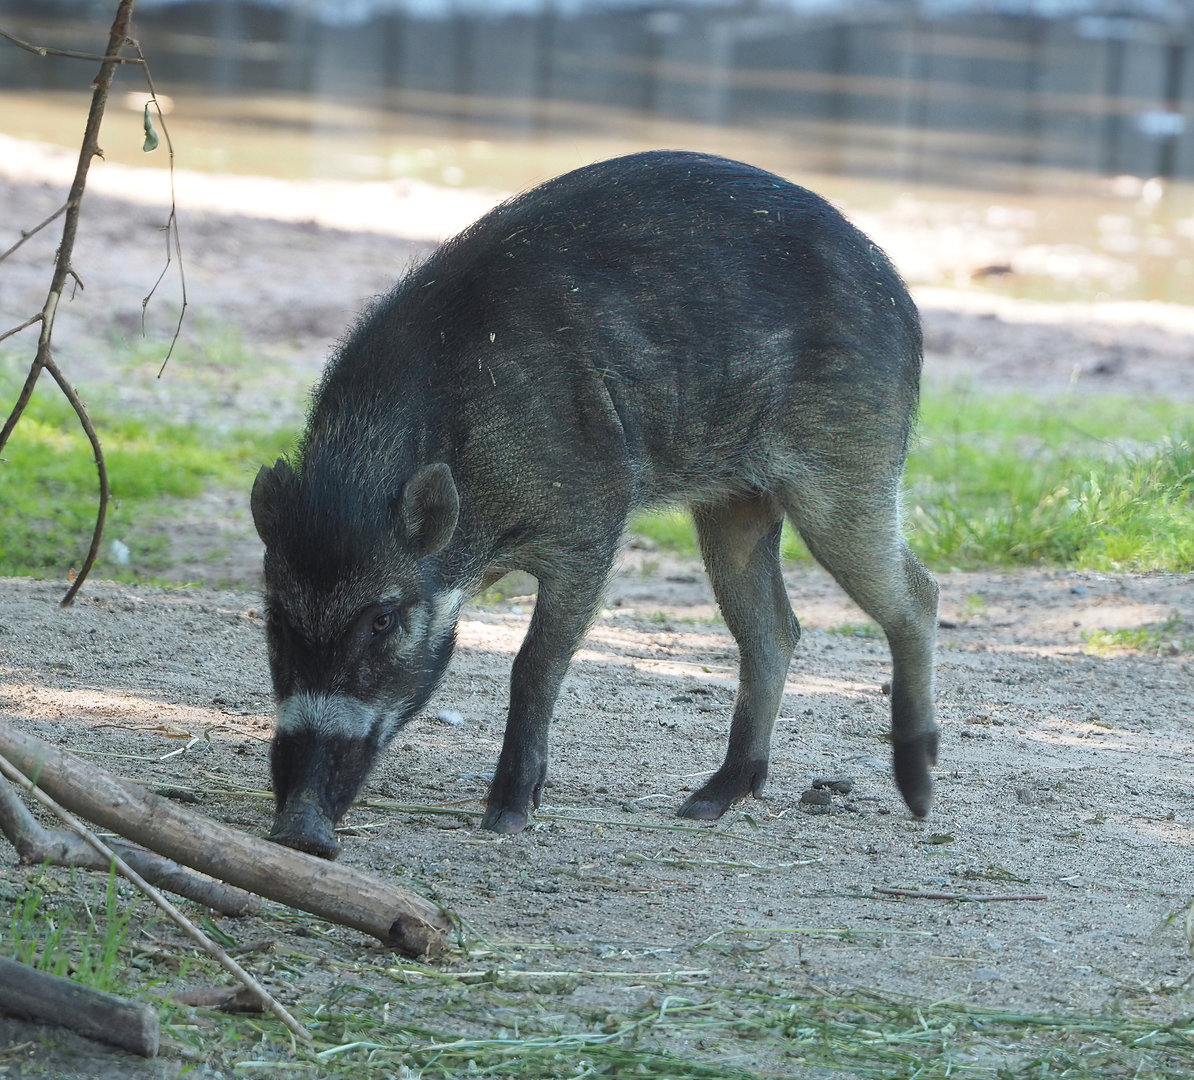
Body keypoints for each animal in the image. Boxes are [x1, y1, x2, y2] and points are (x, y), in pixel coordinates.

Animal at [250, 150, 939, 859]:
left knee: (917, 595)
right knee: (776, 629)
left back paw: (918, 796)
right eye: (275, 616)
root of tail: (899, 289)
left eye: (384, 620)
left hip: (850, 471)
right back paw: (703, 804)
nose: (299, 831)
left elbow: (534, 664)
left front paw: (507, 817)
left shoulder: (591, 524)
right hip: (734, 503)